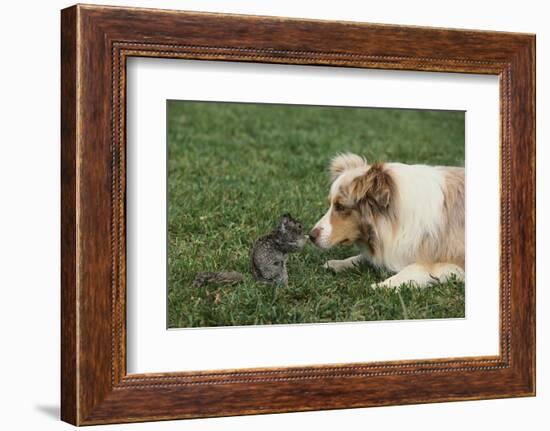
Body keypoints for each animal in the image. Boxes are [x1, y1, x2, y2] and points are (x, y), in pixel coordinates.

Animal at [310, 154, 466, 288]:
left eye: (341, 207)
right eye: (330, 204)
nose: (310, 236)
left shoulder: (455, 258)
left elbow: (415, 268)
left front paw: (381, 286)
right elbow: (362, 257)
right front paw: (337, 264)